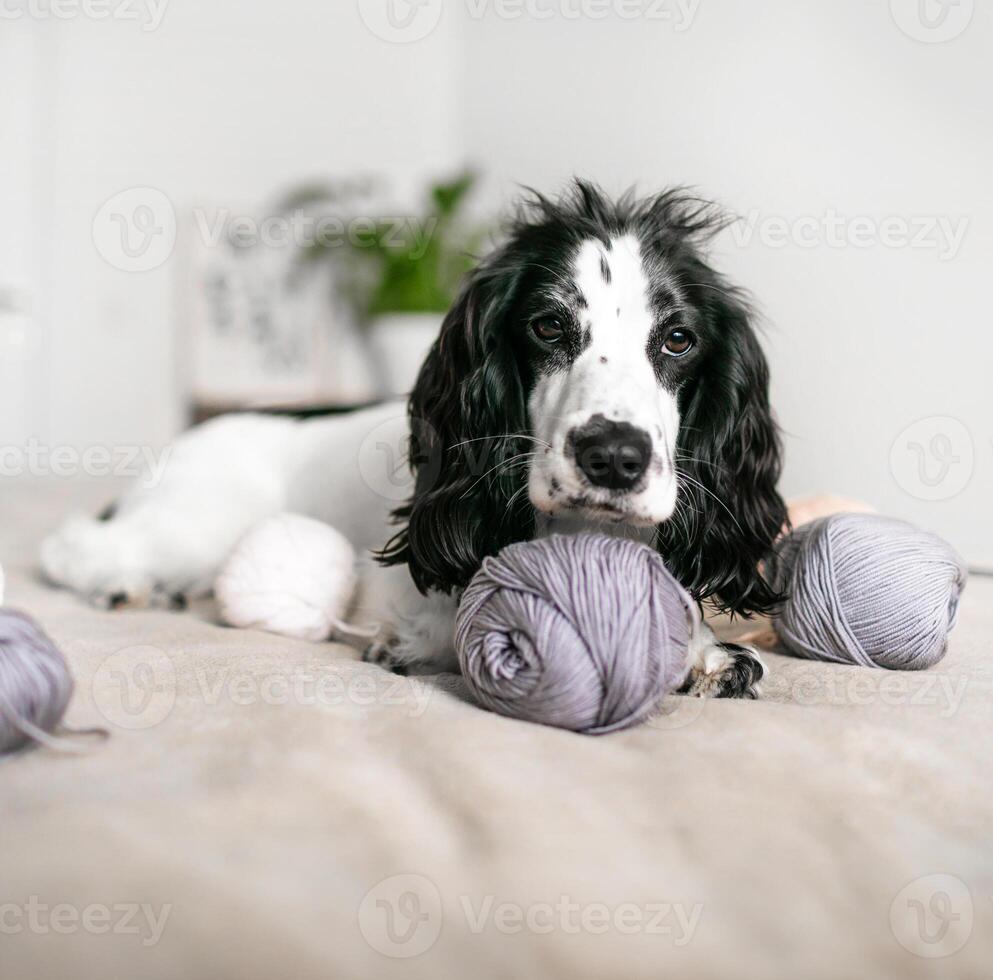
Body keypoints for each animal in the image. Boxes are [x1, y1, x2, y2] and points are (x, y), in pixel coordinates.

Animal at [40, 182, 784, 696]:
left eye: (678, 339)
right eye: (548, 326)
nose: (614, 458)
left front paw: (707, 651)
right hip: (196, 521)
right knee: (72, 546)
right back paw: (126, 585)